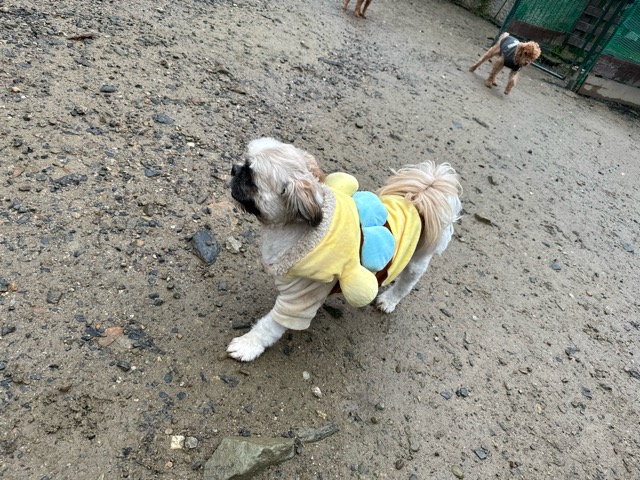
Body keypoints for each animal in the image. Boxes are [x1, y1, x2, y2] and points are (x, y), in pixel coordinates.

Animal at [227, 137, 462, 361]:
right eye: (244, 161)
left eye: (250, 176)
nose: (234, 168)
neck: (291, 231)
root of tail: (418, 200)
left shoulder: (299, 301)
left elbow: (268, 326)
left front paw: (248, 345)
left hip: (417, 260)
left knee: (406, 284)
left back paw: (389, 300)